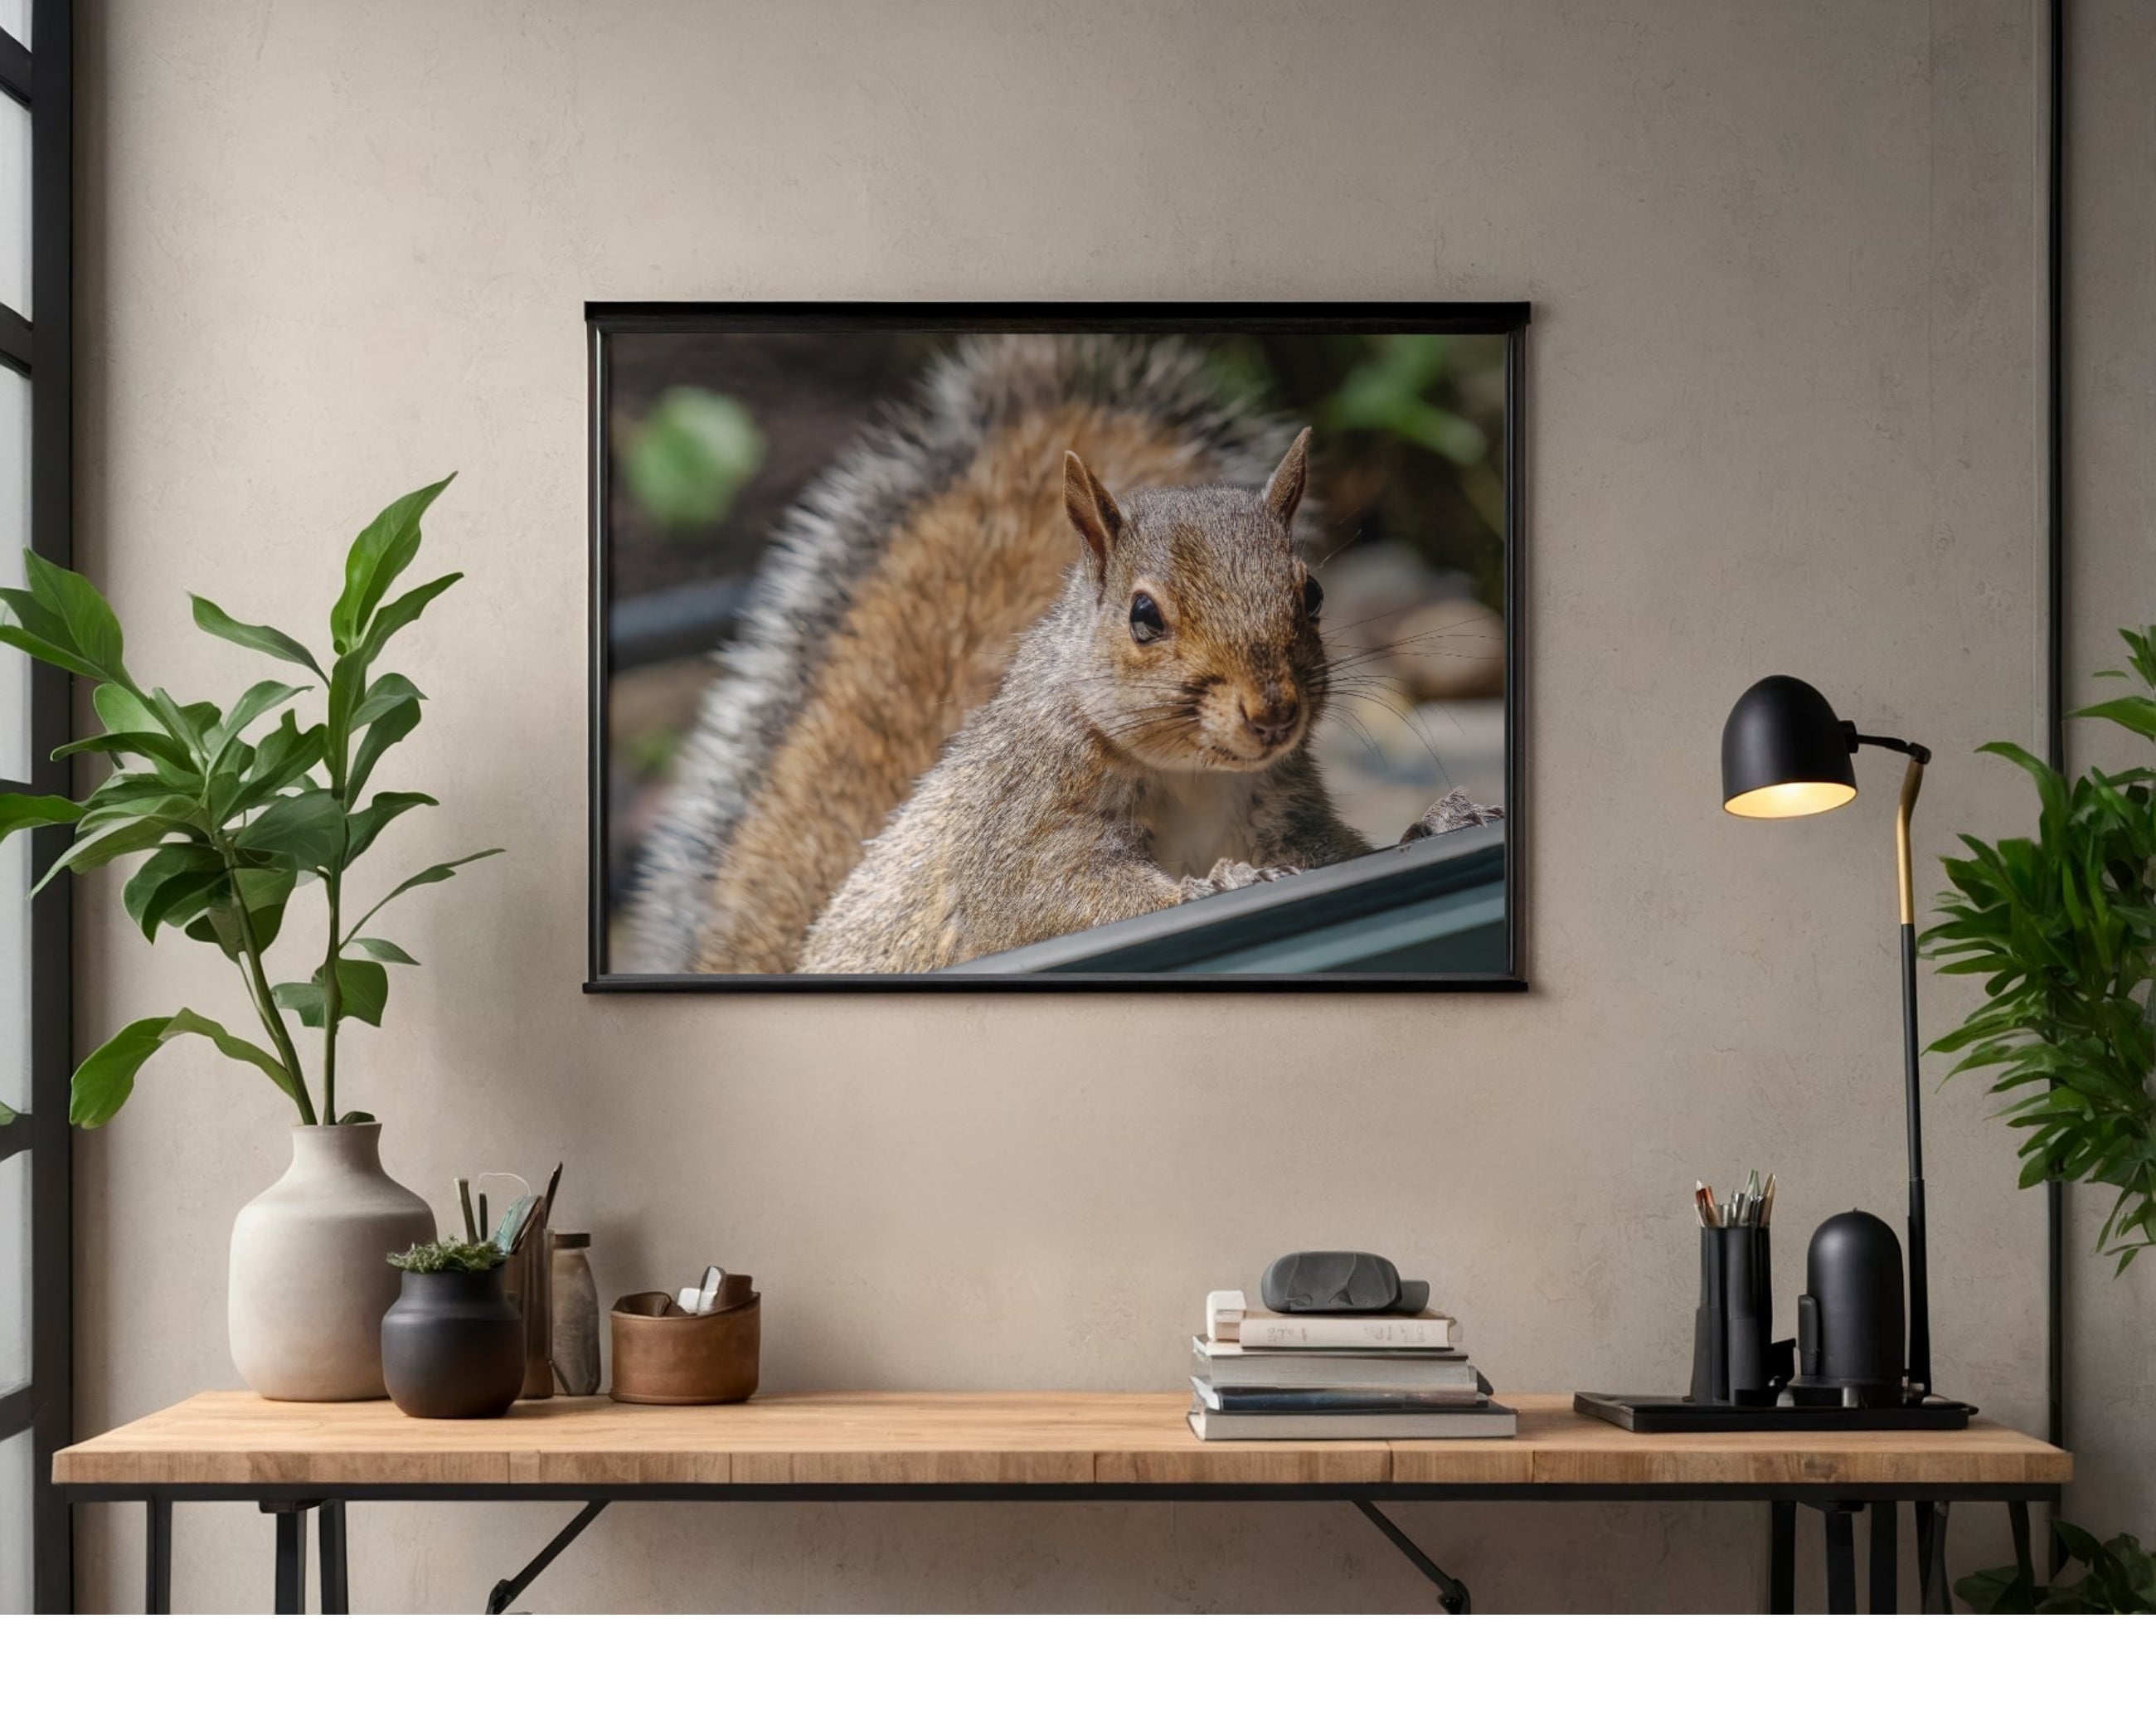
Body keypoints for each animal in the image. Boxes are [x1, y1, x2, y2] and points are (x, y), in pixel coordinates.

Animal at [798, 431, 1489, 973]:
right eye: (1144, 616)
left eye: (1313, 593)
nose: (1274, 713)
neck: (1195, 774)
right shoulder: (1023, 825)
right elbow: (1055, 899)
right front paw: (1221, 884)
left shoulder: (1286, 812)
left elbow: (1338, 855)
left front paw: (1436, 822)